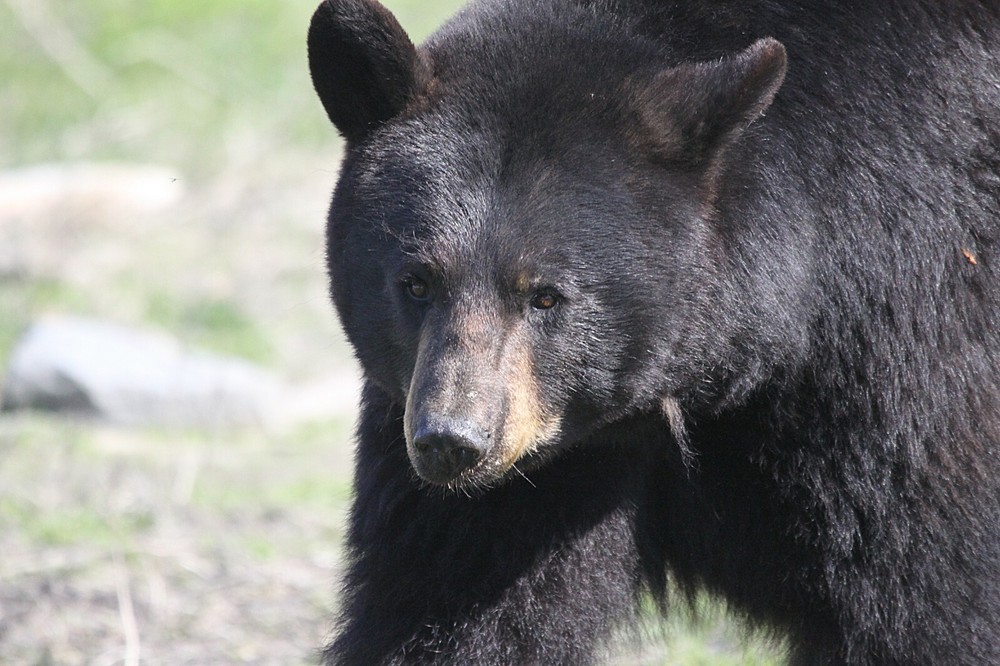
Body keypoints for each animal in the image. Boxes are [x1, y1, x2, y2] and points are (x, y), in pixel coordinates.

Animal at [307, 0, 1000, 664]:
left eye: (546, 295)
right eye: (416, 282)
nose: (452, 441)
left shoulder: (892, 360)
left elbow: (925, 598)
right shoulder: (526, 463)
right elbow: (453, 597)